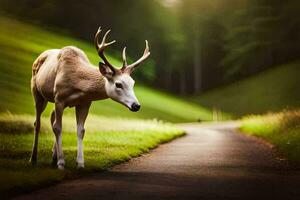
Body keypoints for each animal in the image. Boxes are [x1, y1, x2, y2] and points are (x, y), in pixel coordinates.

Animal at [29, 27, 150, 170]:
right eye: (118, 84)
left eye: (133, 83)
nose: (136, 105)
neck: (77, 85)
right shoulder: (59, 98)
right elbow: (58, 127)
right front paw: (61, 163)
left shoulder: (85, 103)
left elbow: (81, 130)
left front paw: (80, 163)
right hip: (37, 92)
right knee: (38, 123)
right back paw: (33, 159)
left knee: (52, 117)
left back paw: (53, 156)